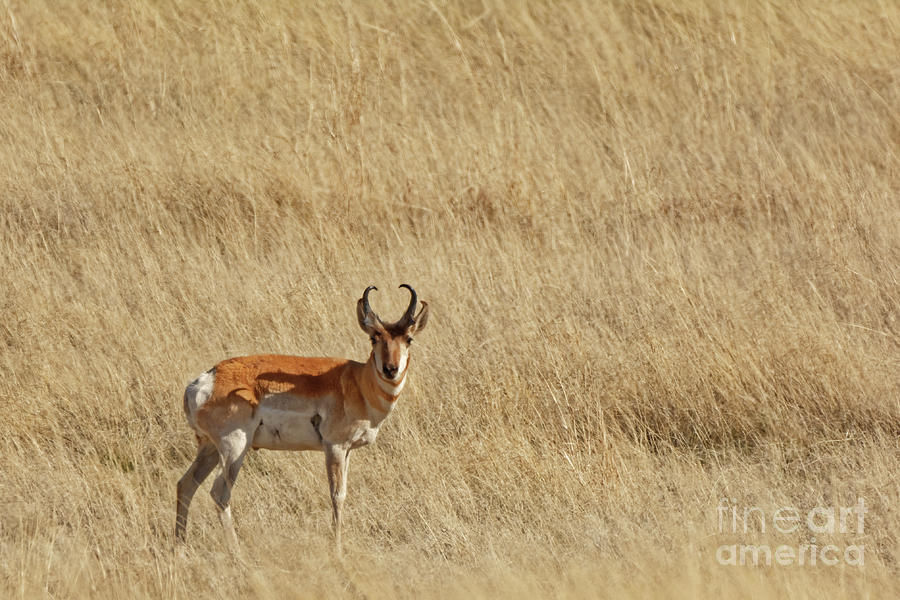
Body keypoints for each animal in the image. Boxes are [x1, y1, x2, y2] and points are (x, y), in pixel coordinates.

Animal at [178, 286, 430, 552]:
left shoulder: (347, 450)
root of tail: (205, 380)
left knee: (186, 484)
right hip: (234, 449)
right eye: (374, 337)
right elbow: (337, 495)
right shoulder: (335, 447)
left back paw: (180, 547)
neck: (357, 381)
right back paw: (237, 553)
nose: (390, 369)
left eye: (408, 339)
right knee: (219, 493)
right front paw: (337, 549)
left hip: (209, 449)